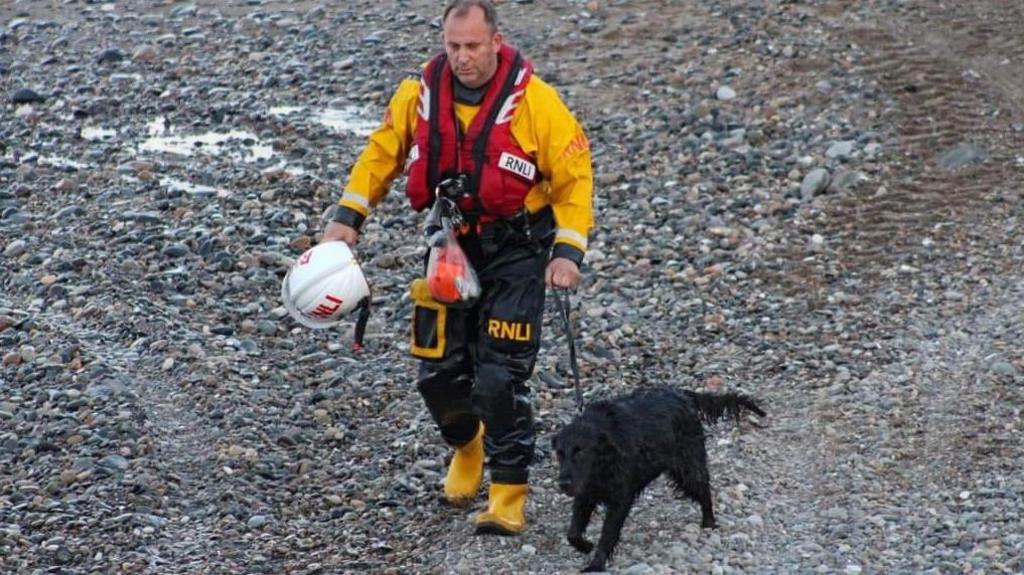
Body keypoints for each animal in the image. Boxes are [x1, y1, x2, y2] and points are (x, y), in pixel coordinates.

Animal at [557, 384, 765, 568]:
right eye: (559, 453)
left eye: (580, 452)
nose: (563, 483)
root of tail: (682, 394)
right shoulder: (585, 493)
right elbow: (572, 533)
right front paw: (585, 546)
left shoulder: (620, 498)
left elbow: (608, 534)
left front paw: (596, 564)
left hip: (687, 467)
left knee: (704, 489)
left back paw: (709, 522)